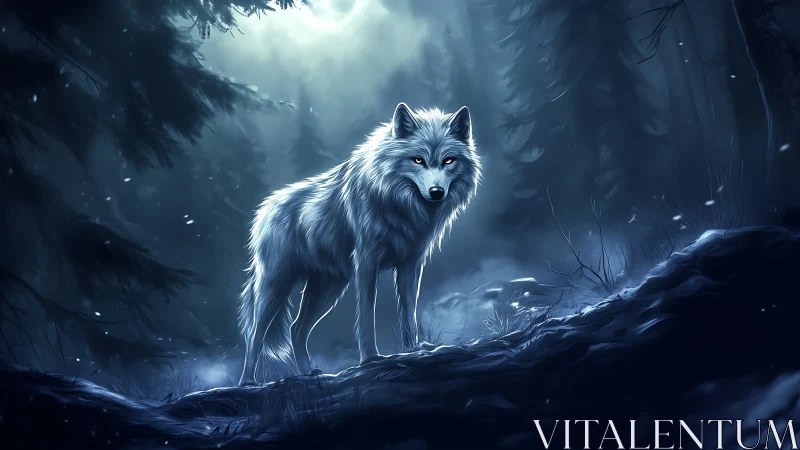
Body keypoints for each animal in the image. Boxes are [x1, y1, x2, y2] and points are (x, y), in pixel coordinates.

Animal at [237, 102, 482, 385]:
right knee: (254, 334)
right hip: (276, 285)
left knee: (296, 328)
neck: (399, 205)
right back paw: (247, 381)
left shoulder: (410, 265)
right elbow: (366, 315)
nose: (436, 193)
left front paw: (415, 349)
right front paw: (371, 359)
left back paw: (309, 372)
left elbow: (409, 312)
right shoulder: (366, 262)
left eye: (448, 160)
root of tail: (264, 210)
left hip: (328, 289)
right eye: (418, 159)